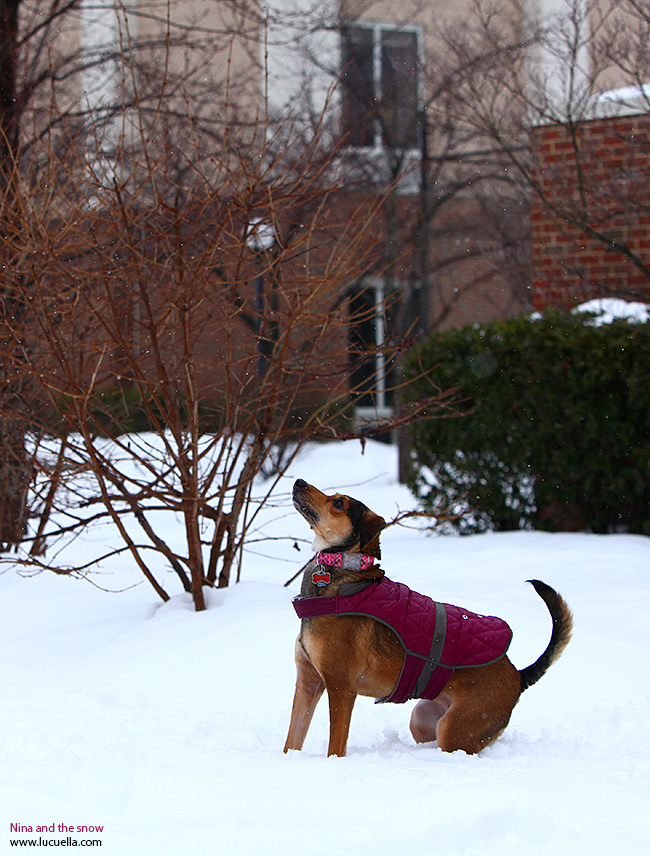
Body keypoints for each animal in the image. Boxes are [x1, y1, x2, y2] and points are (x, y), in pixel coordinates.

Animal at [284, 482, 572, 756]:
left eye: (339, 503)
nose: (299, 482)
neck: (342, 575)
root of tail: (518, 676)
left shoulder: (341, 688)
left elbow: (335, 747)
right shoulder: (308, 683)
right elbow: (292, 740)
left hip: (455, 729)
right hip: (423, 718)